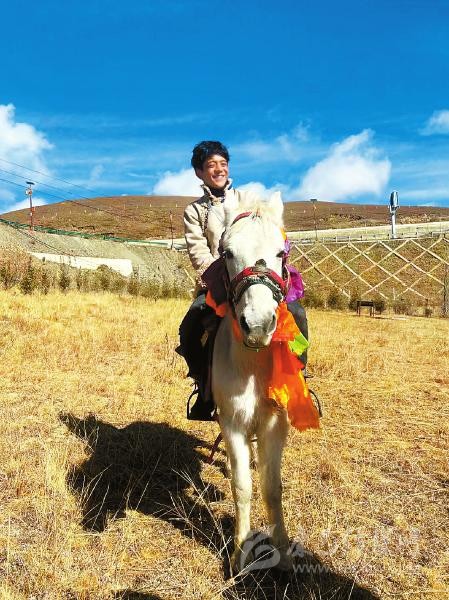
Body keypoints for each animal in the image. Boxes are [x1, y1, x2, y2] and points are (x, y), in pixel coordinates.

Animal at [211, 190, 317, 574]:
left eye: (280, 253)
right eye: (227, 252)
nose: (257, 325)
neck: (253, 362)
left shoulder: (275, 423)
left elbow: (272, 488)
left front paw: (283, 554)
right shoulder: (232, 422)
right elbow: (241, 486)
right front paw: (239, 553)